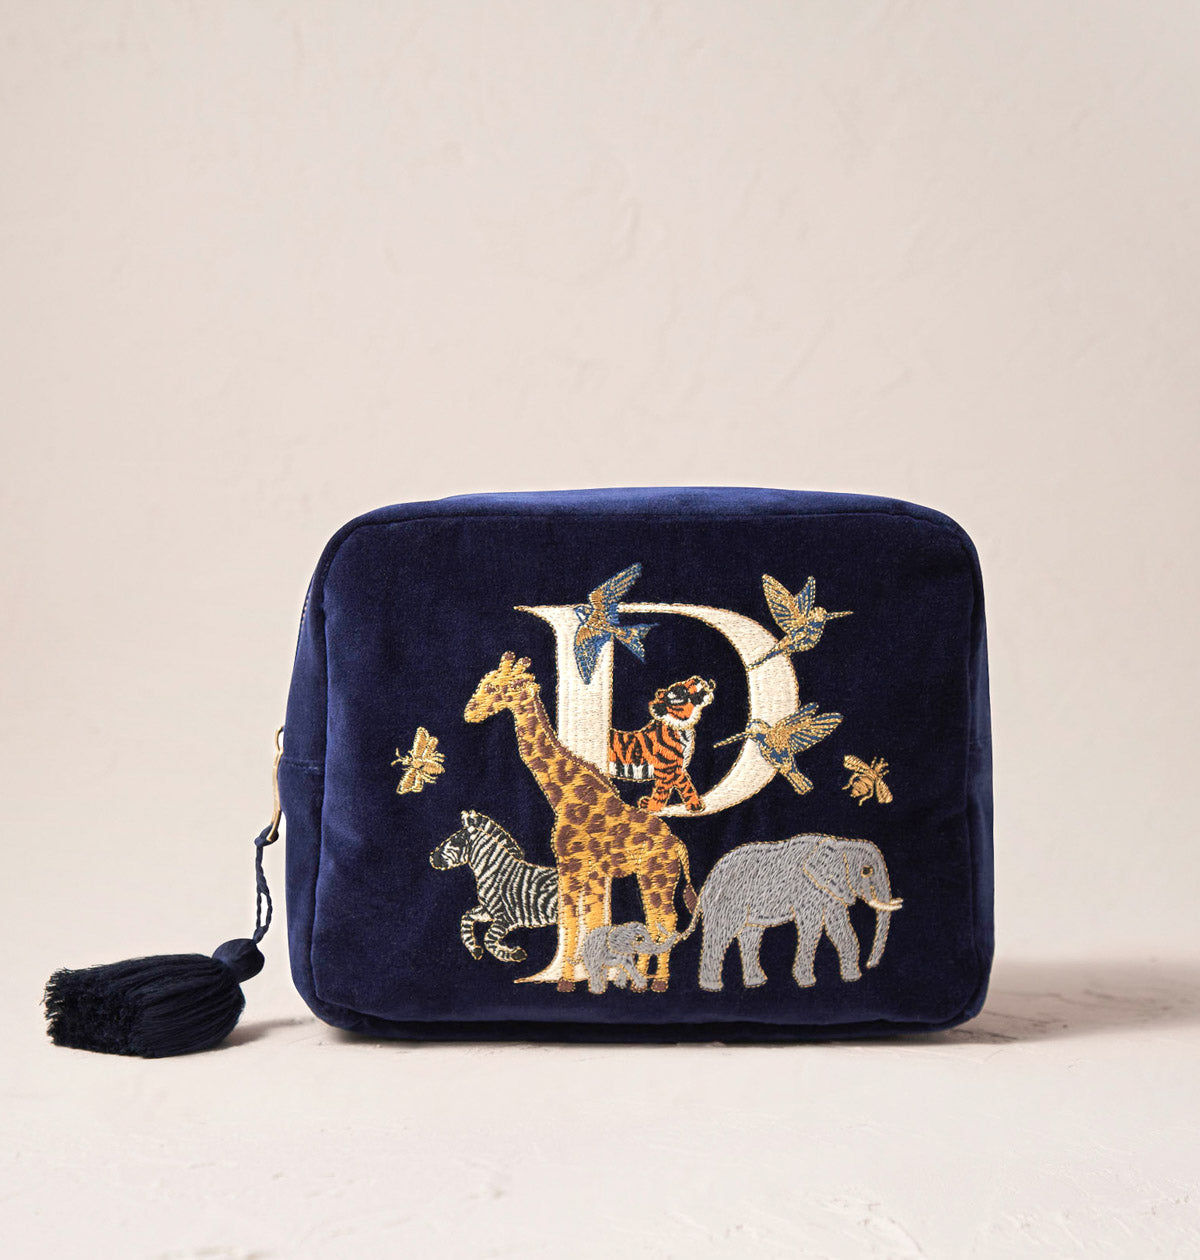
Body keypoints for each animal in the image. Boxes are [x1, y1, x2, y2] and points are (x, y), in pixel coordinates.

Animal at [685, 834, 902, 991]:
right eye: (866, 871)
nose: (870, 965)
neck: (839, 843)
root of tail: (706, 884)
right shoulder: (806, 891)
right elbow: (812, 928)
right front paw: (806, 982)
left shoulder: (833, 892)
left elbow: (840, 928)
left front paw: (852, 977)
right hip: (726, 902)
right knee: (721, 936)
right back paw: (713, 986)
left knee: (751, 935)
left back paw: (756, 982)